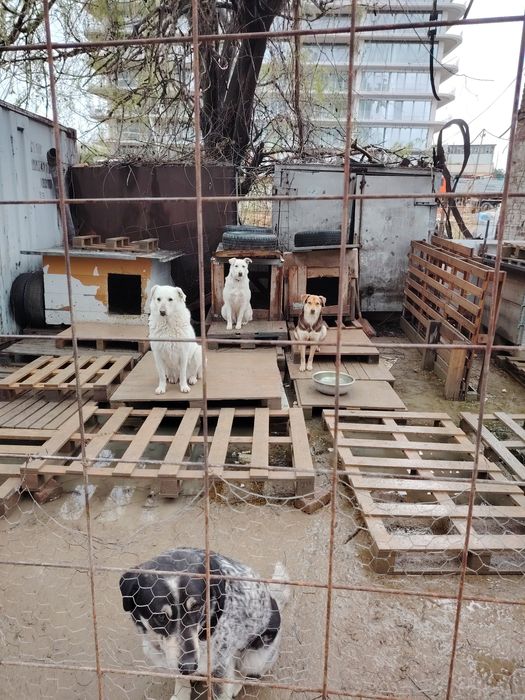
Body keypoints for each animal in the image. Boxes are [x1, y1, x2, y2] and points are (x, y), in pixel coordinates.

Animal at [119, 547, 290, 700]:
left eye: (196, 607)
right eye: (160, 617)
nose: (189, 666)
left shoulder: (220, 667)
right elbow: (180, 679)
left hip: (255, 659)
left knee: (247, 673)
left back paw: (235, 684)